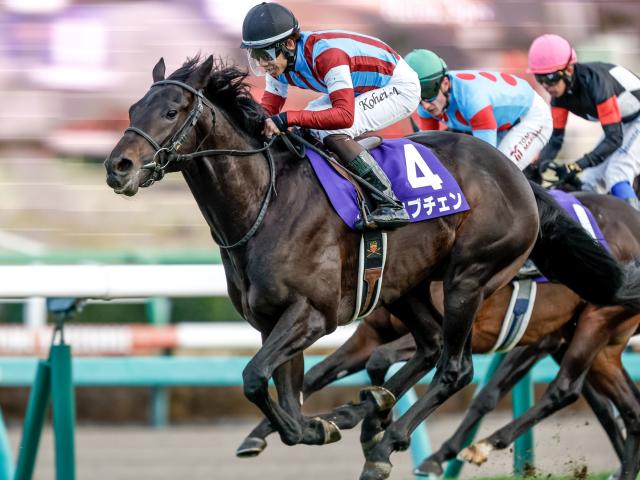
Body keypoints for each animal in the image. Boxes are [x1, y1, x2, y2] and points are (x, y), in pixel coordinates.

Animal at [237, 192, 640, 480]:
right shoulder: (372, 332)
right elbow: (321, 374)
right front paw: (267, 432)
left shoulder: (459, 326)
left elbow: (386, 362)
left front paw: (372, 421)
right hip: (589, 342)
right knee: (624, 405)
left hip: (590, 324)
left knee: (564, 389)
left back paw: (471, 446)